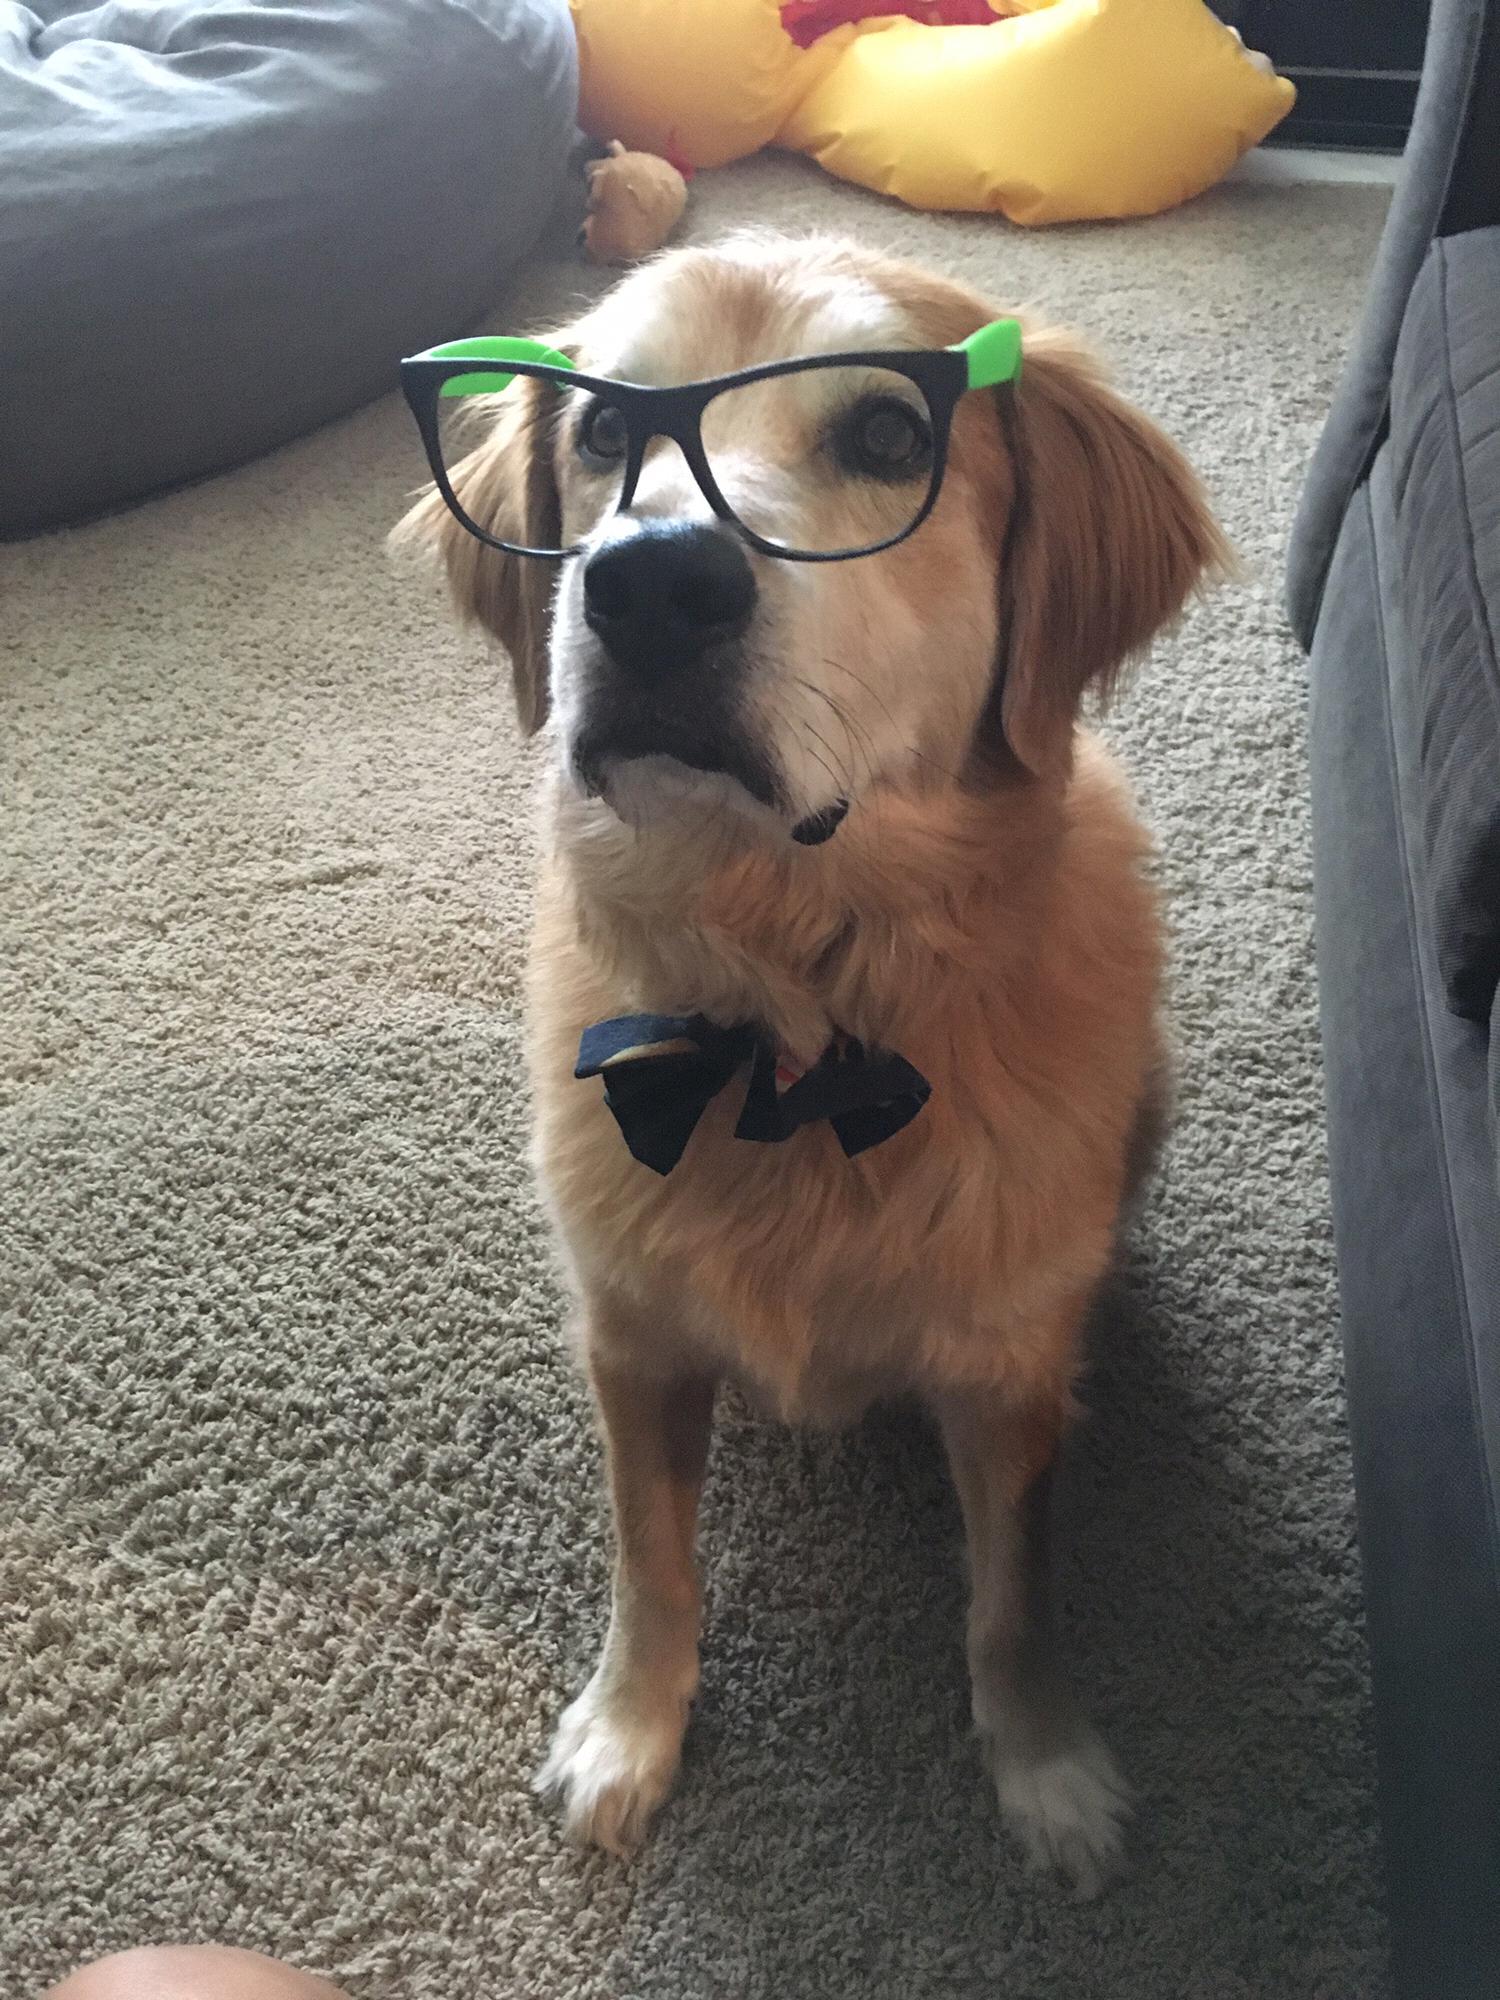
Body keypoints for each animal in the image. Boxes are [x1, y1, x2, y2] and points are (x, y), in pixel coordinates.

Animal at [396, 234, 1224, 1888]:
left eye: (893, 437)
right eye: (604, 431)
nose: (651, 583)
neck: (791, 1025)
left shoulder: (1006, 1378)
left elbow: (1012, 1596)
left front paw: (1044, 1767)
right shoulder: (634, 1339)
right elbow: (652, 1562)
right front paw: (630, 1730)